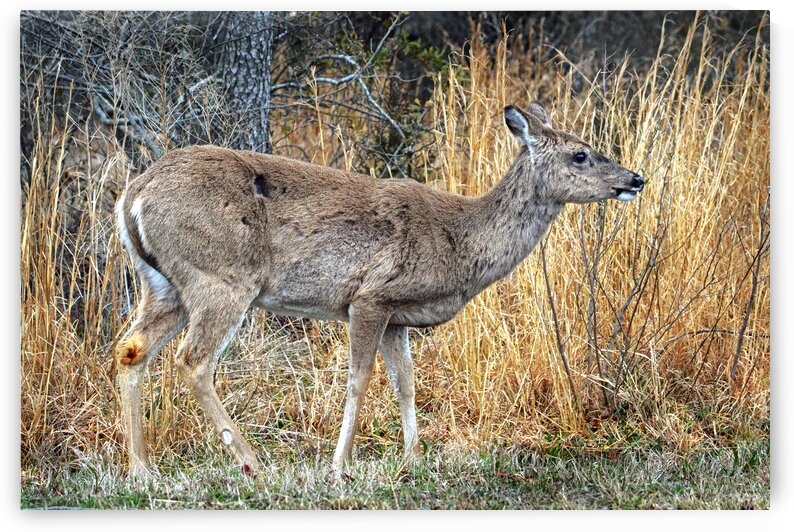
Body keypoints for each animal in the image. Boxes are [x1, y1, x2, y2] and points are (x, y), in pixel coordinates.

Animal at [113, 101, 645, 479]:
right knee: (193, 360)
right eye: (580, 154)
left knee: (130, 348)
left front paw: (414, 458)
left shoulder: (398, 316)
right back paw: (251, 462)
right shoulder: (370, 296)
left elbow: (406, 382)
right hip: (222, 277)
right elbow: (359, 378)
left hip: (163, 284)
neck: (458, 240)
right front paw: (340, 464)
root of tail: (132, 196)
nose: (635, 178)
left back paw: (141, 469)